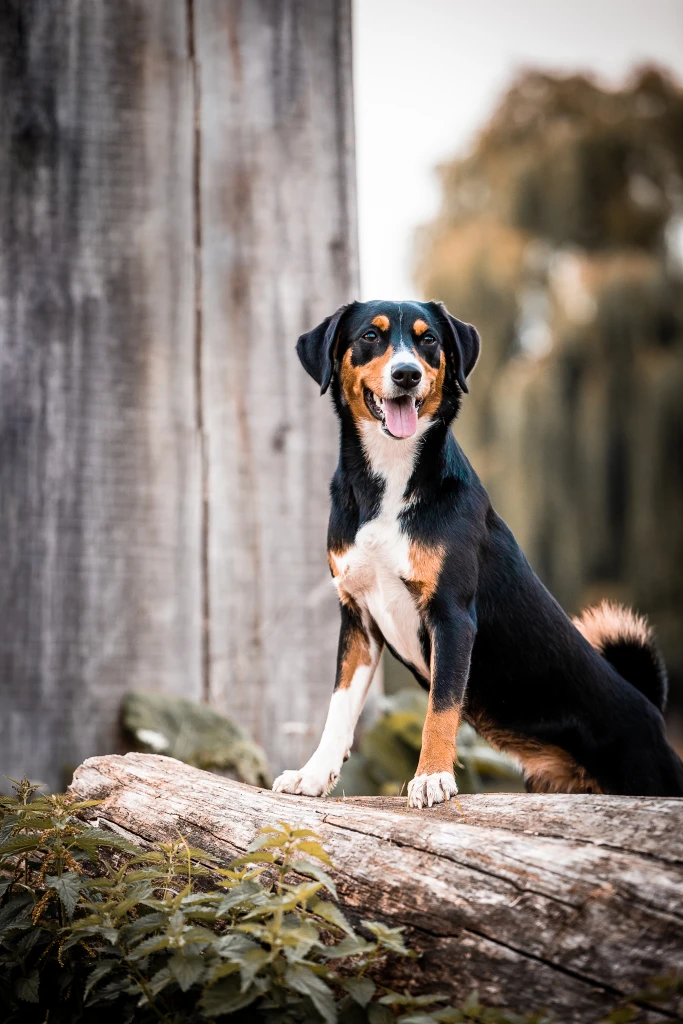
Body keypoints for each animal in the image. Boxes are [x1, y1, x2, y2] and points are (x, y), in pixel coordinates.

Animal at [272, 299, 683, 802]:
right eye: (371, 336)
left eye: (429, 340)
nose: (407, 374)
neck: (390, 483)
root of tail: (650, 707)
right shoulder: (359, 618)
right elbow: (339, 708)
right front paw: (312, 775)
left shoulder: (452, 615)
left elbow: (440, 709)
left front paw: (432, 776)